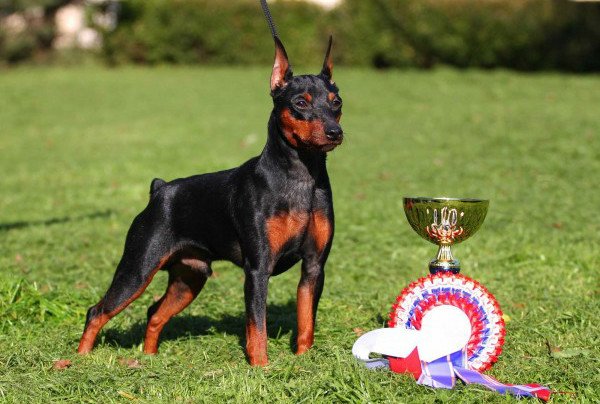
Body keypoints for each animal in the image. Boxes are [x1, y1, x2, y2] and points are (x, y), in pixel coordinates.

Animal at [78, 38, 342, 366]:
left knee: (154, 313)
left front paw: (303, 360)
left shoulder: (314, 267)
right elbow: (257, 328)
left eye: (336, 103)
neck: (301, 177)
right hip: (138, 269)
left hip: (190, 277)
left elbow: (306, 322)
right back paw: (78, 361)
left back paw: (149, 359)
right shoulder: (258, 270)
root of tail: (160, 191)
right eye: (301, 103)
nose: (335, 132)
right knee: (97, 311)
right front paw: (261, 368)